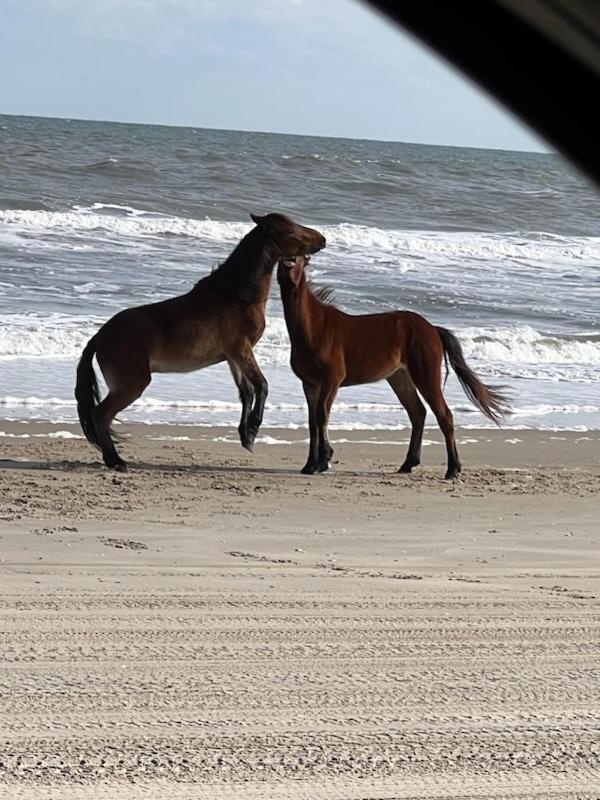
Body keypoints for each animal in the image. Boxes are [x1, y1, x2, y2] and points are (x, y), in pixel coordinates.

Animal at [76, 216, 328, 472]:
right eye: (290, 232)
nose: (322, 239)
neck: (236, 296)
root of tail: (99, 336)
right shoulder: (241, 350)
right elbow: (262, 386)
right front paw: (253, 429)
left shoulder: (233, 356)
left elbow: (246, 392)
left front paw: (245, 435)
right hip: (131, 385)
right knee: (100, 415)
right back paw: (116, 460)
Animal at [278, 256, 508, 478]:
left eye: (301, 258)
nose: (290, 264)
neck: (314, 327)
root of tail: (433, 329)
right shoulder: (310, 384)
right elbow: (312, 422)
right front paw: (310, 465)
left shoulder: (331, 380)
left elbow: (321, 416)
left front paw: (324, 460)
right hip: (399, 377)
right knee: (418, 413)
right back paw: (408, 464)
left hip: (426, 376)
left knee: (444, 416)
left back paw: (452, 470)